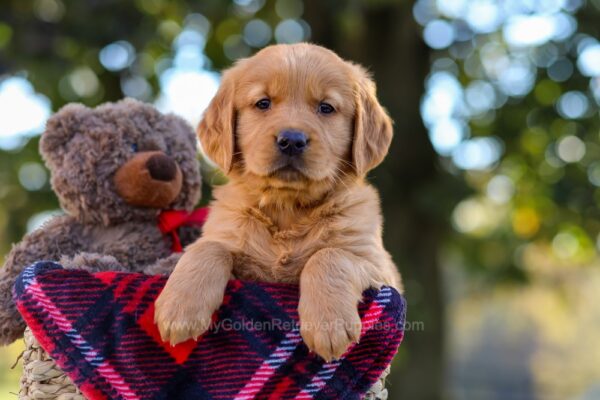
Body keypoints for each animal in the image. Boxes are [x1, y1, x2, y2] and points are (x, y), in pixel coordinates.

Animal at [155, 43, 404, 362]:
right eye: (263, 103)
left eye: (326, 108)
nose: (292, 140)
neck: (287, 208)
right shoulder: (227, 237)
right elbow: (208, 248)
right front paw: (179, 308)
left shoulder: (379, 267)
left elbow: (330, 255)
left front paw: (328, 323)